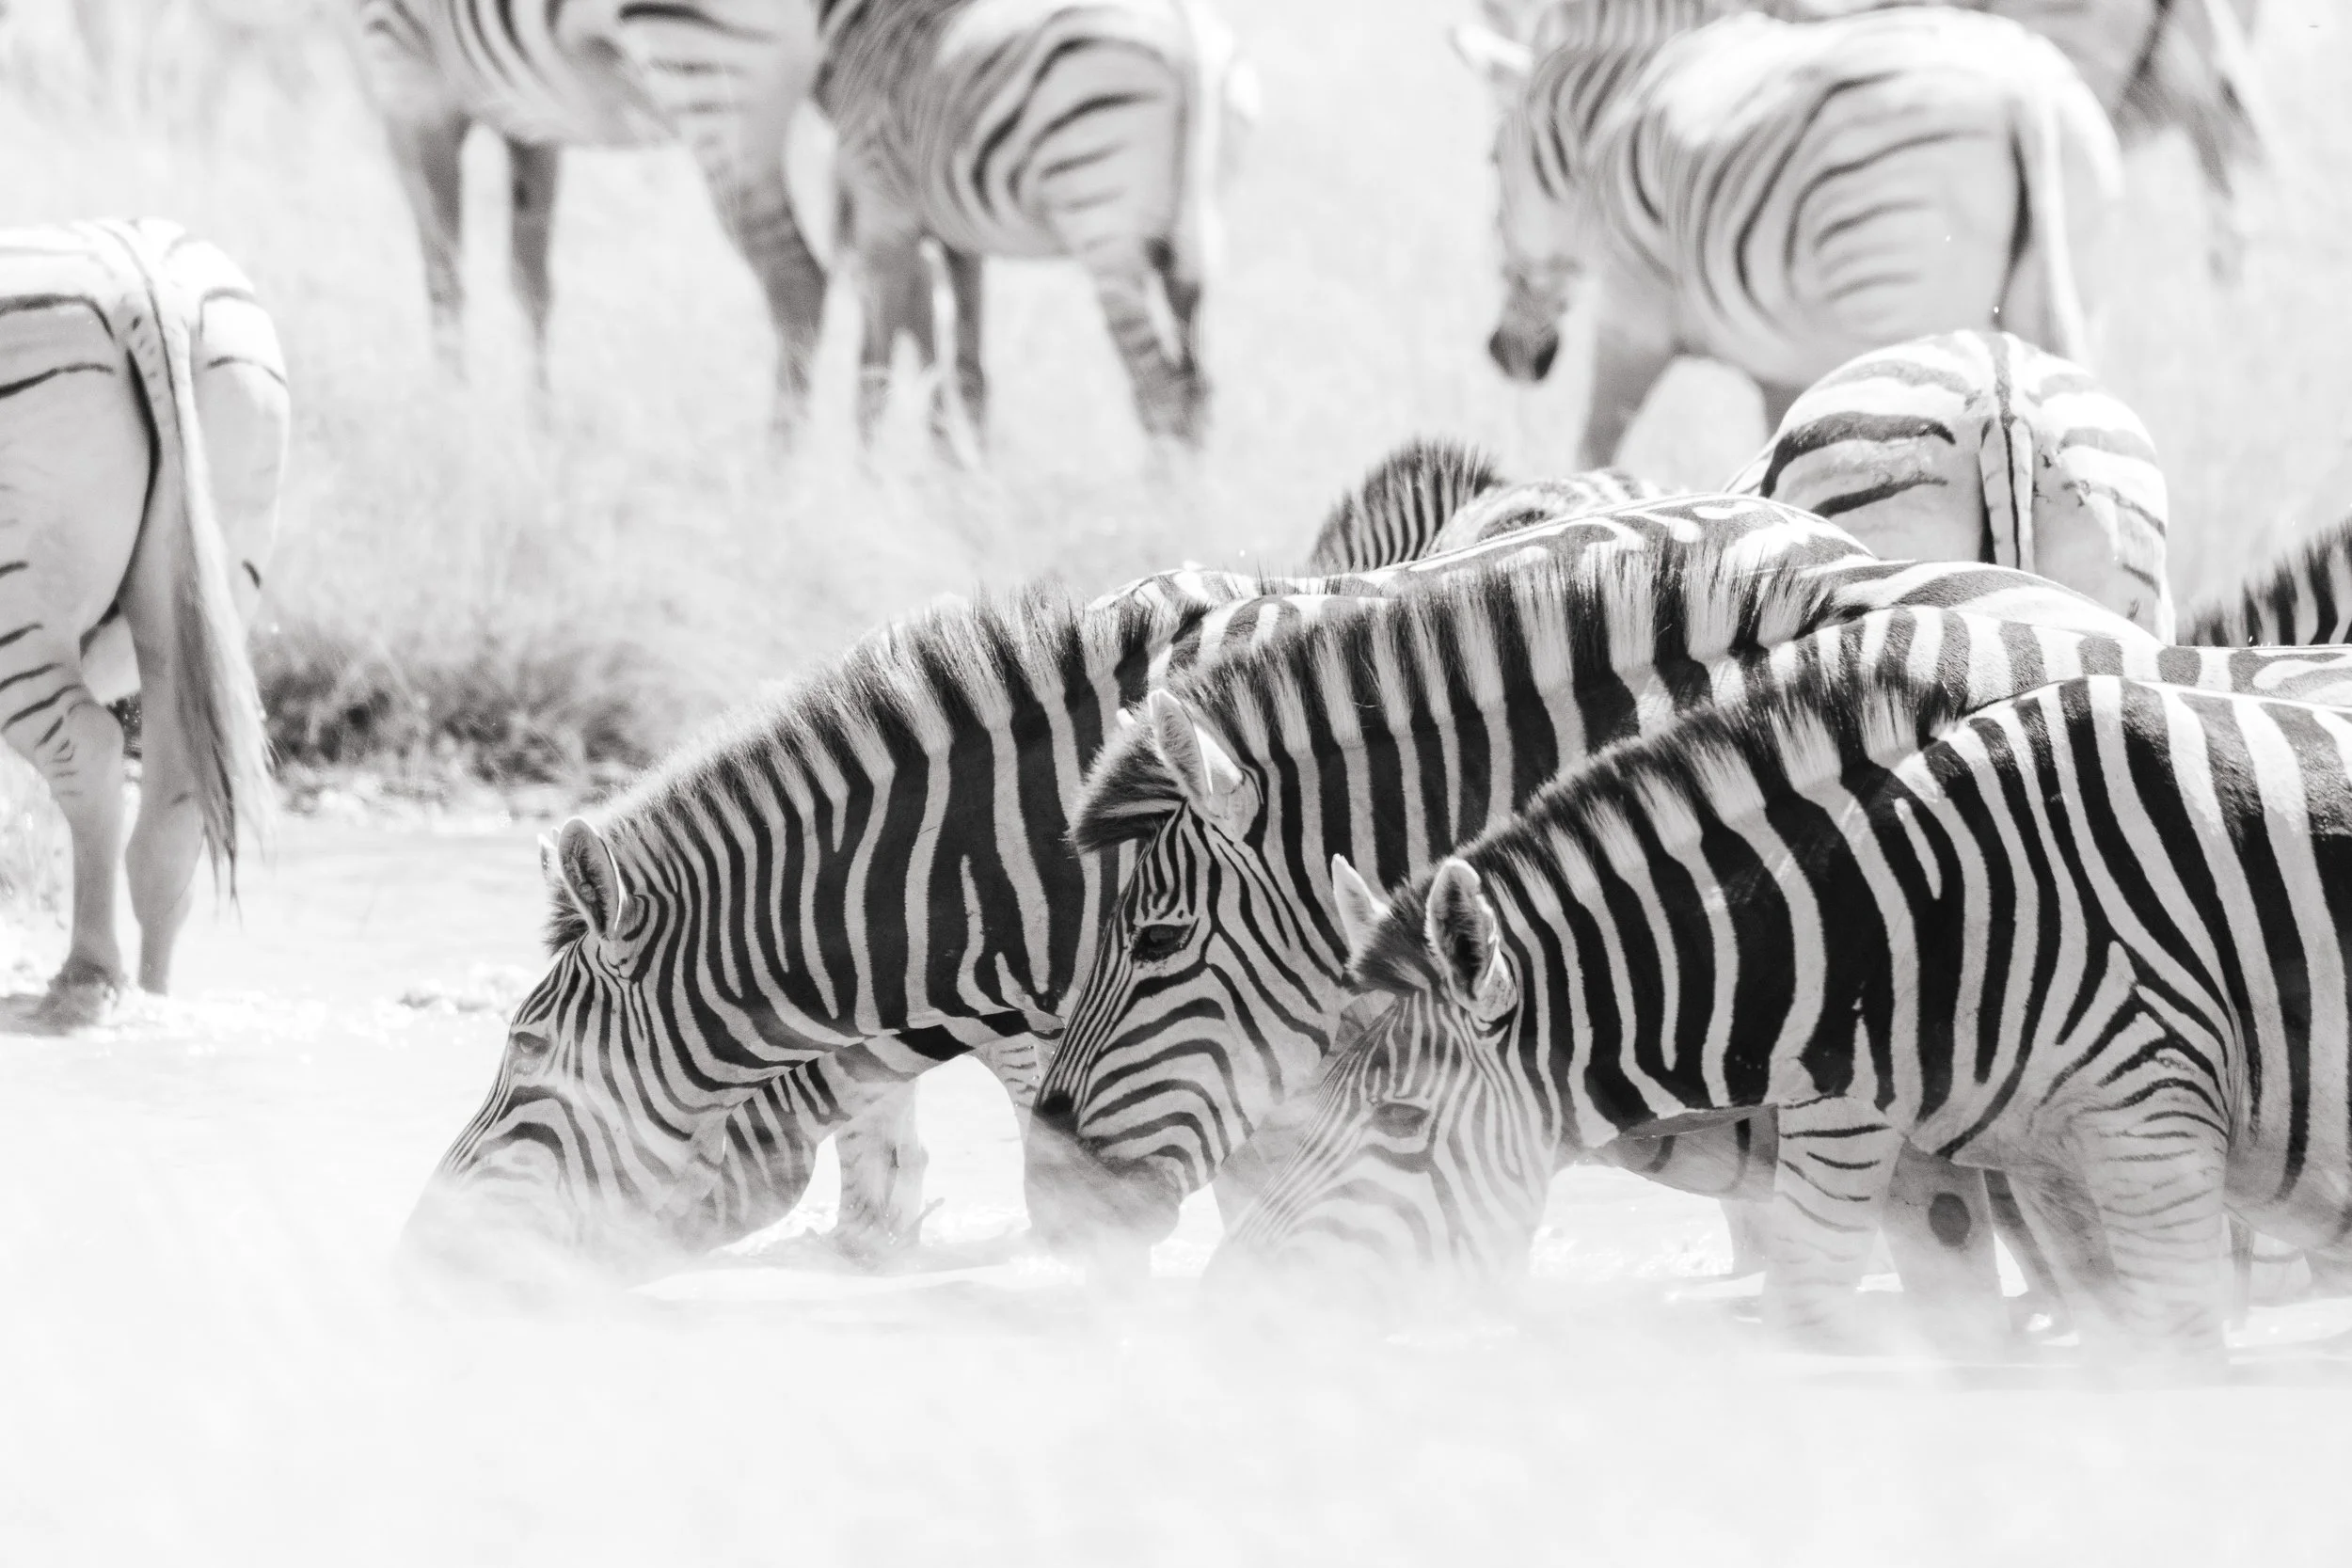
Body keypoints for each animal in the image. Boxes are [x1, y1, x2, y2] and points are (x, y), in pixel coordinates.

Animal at [0, 219, 286, 1026]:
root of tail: (147, 286)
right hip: (196, 592)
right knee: (177, 796)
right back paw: (152, 994)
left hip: (17, 607)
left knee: (90, 753)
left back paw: (88, 976)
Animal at [348, 0, 829, 416]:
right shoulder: (527, 111)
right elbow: (530, 284)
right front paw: (539, 428)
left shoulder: (405, 77)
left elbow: (443, 277)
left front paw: (450, 412)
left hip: (707, 74)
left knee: (795, 279)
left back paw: (777, 463)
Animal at [814, 0, 1256, 454]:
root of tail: (1188, 38)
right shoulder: (958, 237)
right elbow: (964, 365)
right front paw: (971, 467)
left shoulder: (881, 208)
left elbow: (874, 368)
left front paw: (874, 467)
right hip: (1186, 233)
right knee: (1193, 387)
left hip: (1103, 224)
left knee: (1161, 390)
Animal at [1452, 3, 2121, 468]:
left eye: (1490, 159)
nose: (1505, 355)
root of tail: (2023, 90)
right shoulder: (1783, 369)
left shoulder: (1630, 312)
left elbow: (1594, 448)